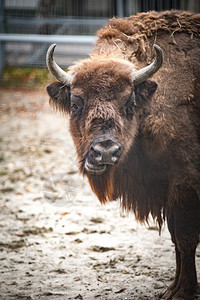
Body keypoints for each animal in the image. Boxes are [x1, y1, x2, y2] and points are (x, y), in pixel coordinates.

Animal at [45, 9, 200, 300]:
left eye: (130, 102)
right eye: (76, 103)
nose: (104, 152)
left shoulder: (185, 183)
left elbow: (186, 238)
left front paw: (184, 291)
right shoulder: (167, 189)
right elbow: (176, 237)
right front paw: (172, 288)